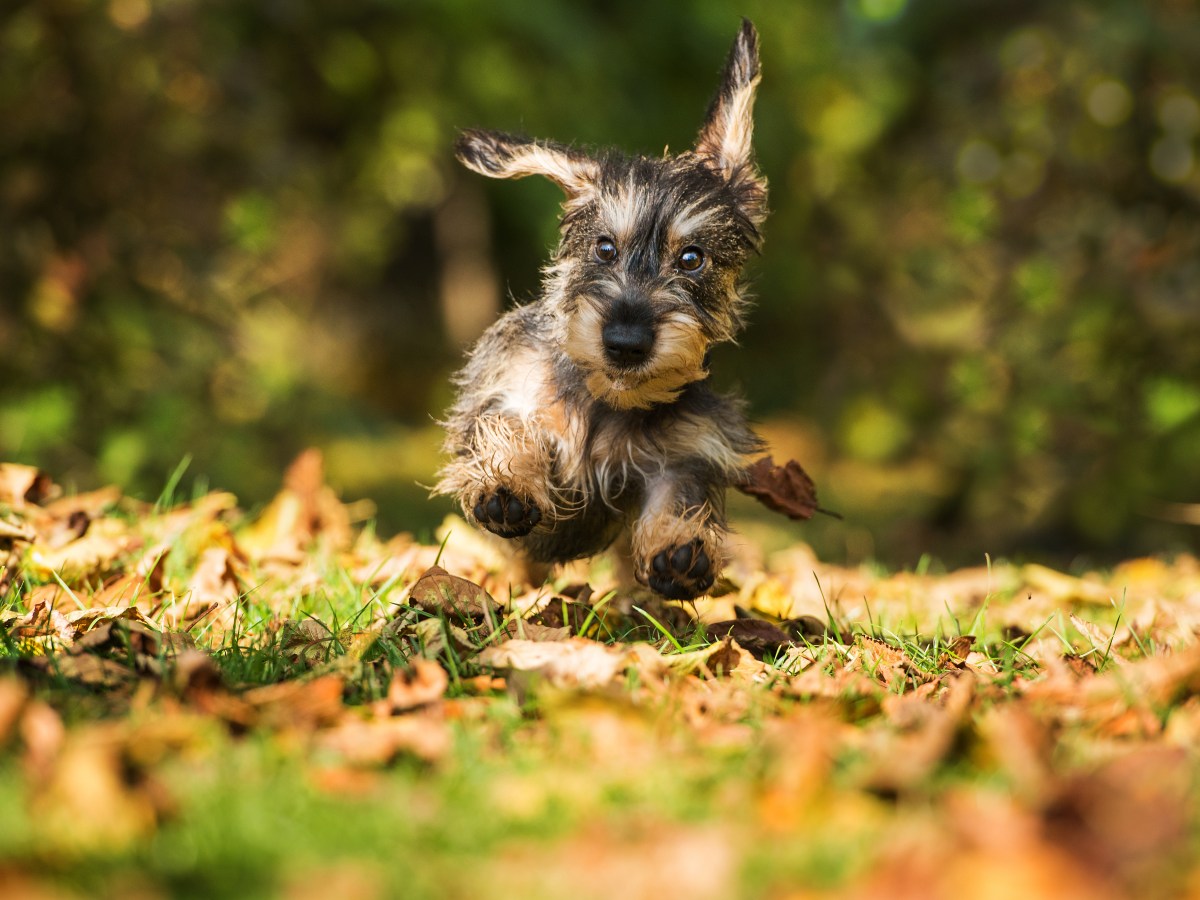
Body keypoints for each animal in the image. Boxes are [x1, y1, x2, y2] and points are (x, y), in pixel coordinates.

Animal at [439, 19, 768, 600]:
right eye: (605, 248)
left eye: (692, 259)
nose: (626, 344)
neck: (607, 402)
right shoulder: (505, 387)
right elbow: (507, 426)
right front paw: (507, 481)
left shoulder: (686, 452)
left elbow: (681, 493)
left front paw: (680, 547)